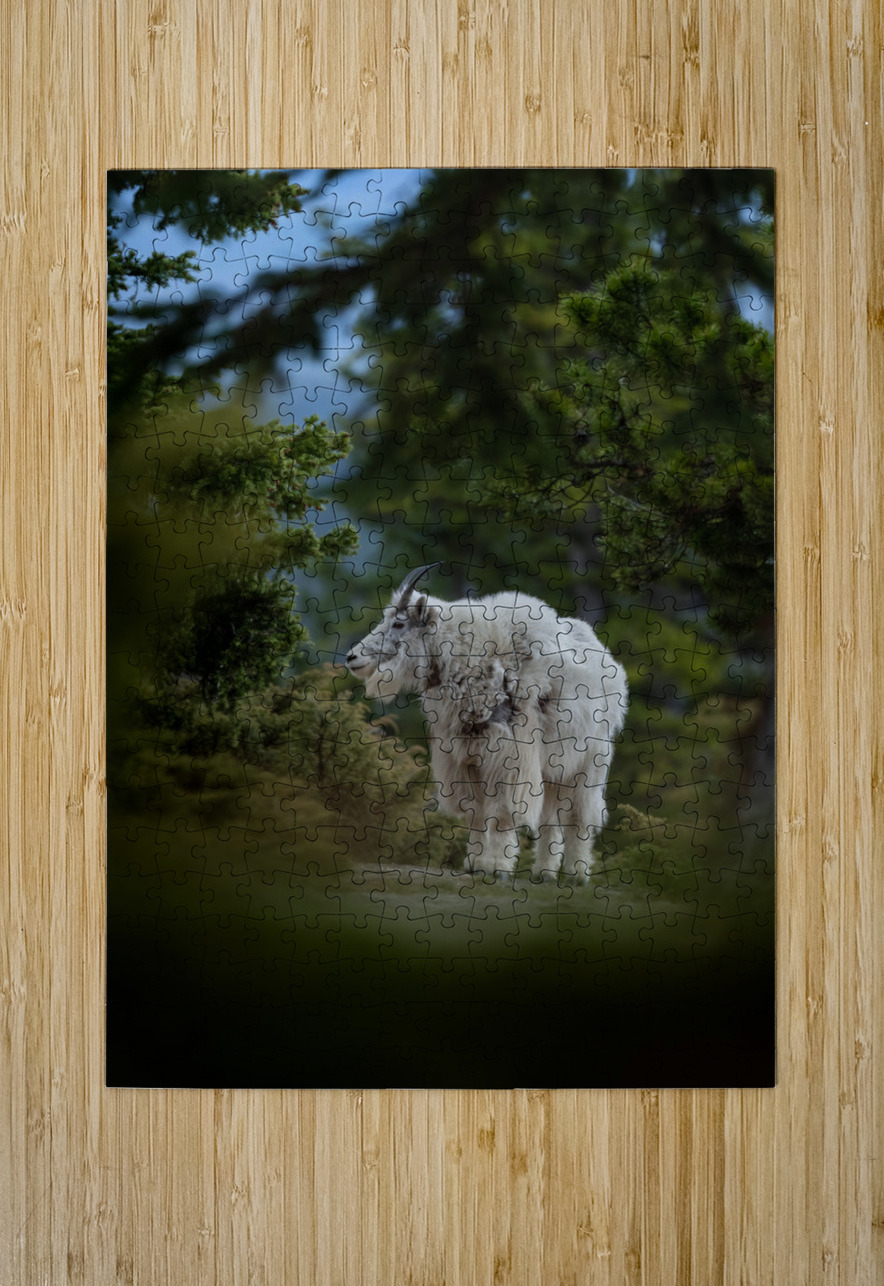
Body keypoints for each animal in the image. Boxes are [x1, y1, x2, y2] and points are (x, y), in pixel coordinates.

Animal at [345, 565, 628, 883]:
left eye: (398, 623)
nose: (351, 657)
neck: (469, 658)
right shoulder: (467, 758)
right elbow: (476, 812)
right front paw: (474, 863)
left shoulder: (509, 756)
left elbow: (504, 812)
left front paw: (498, 867)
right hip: (555, 765)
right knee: (550, 816)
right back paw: (543, 873)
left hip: (591, 761)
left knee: (579, 815)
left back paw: (576, 875)